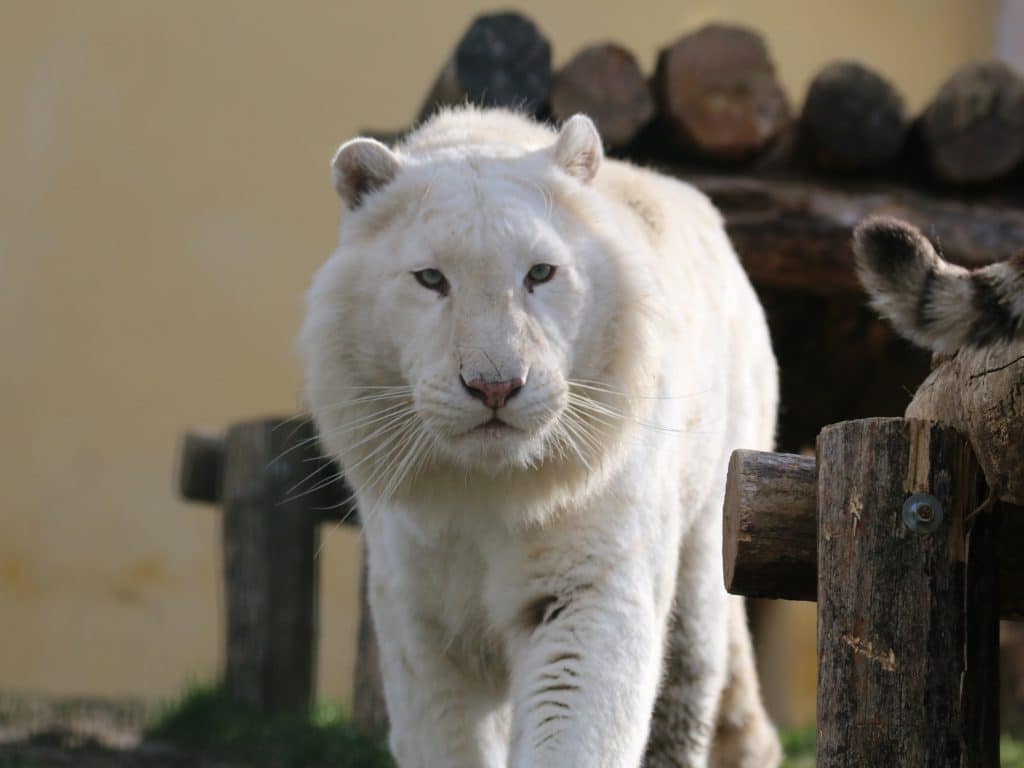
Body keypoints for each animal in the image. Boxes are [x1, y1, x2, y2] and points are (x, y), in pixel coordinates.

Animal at [299, 108, 778, 768]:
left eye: (540, 273)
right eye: (431, 279)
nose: (495, 386)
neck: (484, 493)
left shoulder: (588, 592)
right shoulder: (420, 624)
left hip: (707, 543)